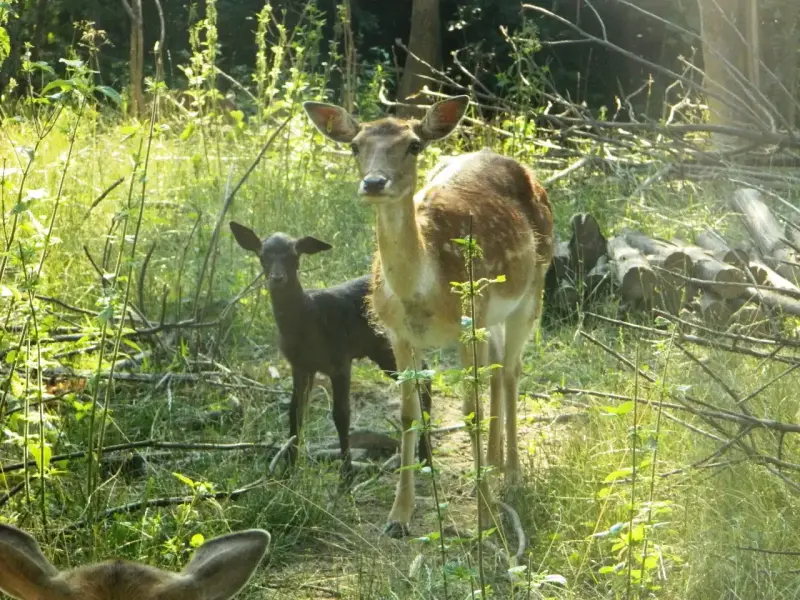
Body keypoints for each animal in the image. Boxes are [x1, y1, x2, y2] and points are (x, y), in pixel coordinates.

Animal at [304, 96, 552, 536]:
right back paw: (493, 463)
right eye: (355, 146)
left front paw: (485, 518)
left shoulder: (466, 325)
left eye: (414, 144)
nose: (374, 183)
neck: (422, 290)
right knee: (497, 367)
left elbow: (469, 412)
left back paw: (511, 475)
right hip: (489, 316)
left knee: (511, 370)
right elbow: (408, 415)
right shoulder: (399, 335)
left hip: (531, 290)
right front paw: (398, 516)